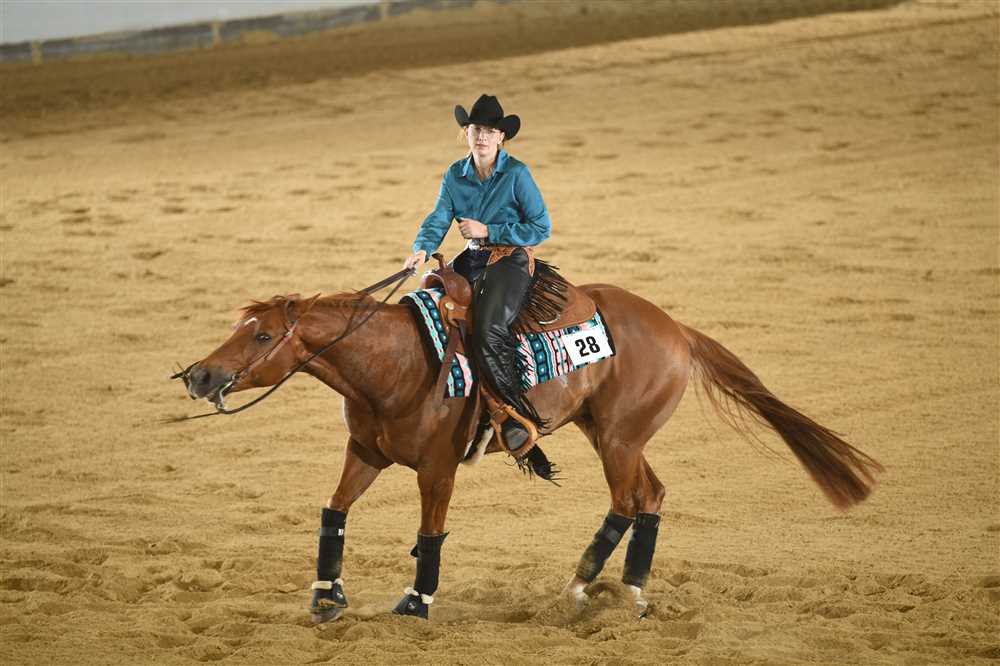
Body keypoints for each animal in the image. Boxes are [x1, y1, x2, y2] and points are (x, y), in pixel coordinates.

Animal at [176, 276, 882, 621]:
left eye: (261, 334)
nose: (201, 376)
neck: (396, 363)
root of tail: (677, 328)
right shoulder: (365, 454)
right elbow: (334, 513)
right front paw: (327, 596)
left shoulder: (437, 470)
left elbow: (429, 535)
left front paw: (416, 603)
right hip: (610, 432)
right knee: (650, 497)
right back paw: (628, 592)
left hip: (618, 438)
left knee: (628, 500)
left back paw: (580, 591)